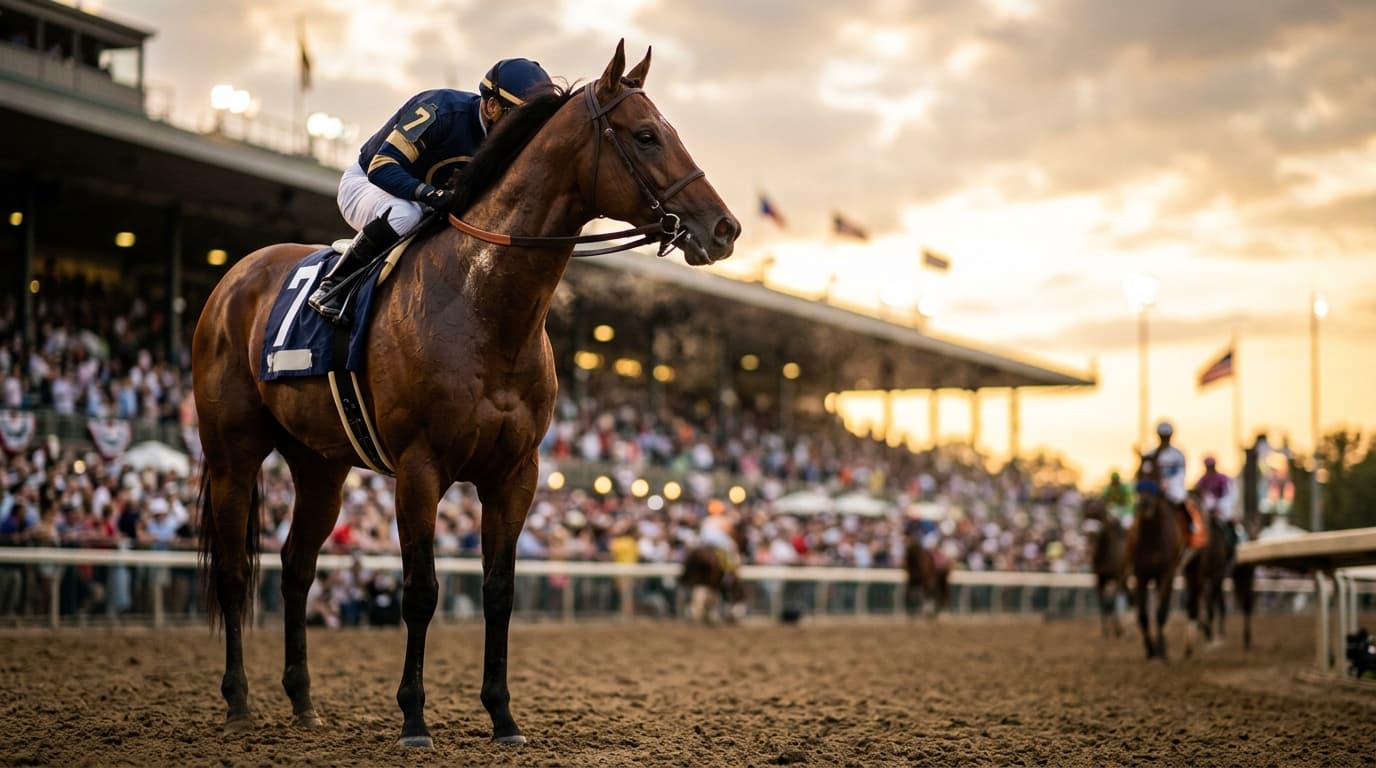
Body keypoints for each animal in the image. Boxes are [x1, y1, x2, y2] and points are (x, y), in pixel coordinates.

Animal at [192, 41, 739, 748]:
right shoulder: (419, 469)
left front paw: (503, 716)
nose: (724, 228)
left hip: (321, 464)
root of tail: (235, 275)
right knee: (236, 570)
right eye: (646, 135)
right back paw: (237, 701)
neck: (483, 305)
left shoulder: (515, 473)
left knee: (295, 568)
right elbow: (421, 590)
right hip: (231, 452)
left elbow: (499, 590)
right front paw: (414, 718)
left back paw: (303, 702)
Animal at [1083, 498, 1127, 638]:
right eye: (1086, 515)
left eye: (1099, 516)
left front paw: (1116, 630)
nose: (1089, 549)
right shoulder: (1100, 578)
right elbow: (1102, 601)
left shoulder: (1118, 576)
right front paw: (1105, 631)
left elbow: (1111, 601)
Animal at [1130, 453, 1188, 660]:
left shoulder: (1167, 572)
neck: (1153, 537)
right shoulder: (1140, 573)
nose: (1145, 504)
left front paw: (1161, 650)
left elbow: (1161, 612)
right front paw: (1150, 650)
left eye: (1155, 474)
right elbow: (1142, 615)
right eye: (1138, 473)